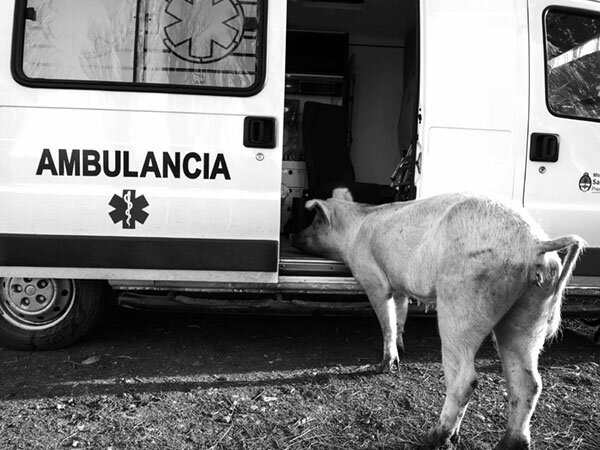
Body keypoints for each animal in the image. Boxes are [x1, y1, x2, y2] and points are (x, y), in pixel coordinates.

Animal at [288, 193, 584, 450]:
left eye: (316, 221)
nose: (293, 235)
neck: (353, 232)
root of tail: (536, 243)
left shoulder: (373, 277)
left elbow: (386, 319)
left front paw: (385, 366)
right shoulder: (400, 286)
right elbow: (400, 313)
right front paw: (402, 348)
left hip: (461, 302)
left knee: (465, 379)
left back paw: (432, 438)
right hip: (531, 311)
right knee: (529, 382)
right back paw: (509, 444)